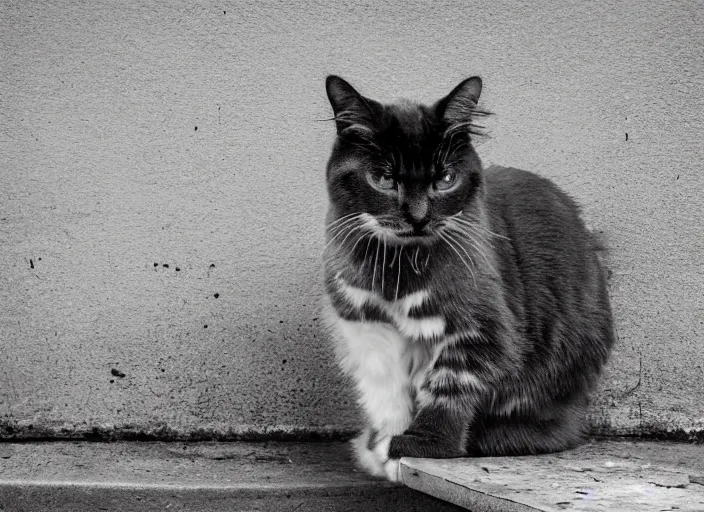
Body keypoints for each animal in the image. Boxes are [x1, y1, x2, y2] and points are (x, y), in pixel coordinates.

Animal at [322, 75, 612, 480]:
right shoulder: (367, 327)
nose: (418, 217)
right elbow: (387, 391)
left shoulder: (481, 329)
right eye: (383, 179)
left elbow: (448, 387)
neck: (401, 266)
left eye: (445, 179)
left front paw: (423, 445)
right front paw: (385, 446)